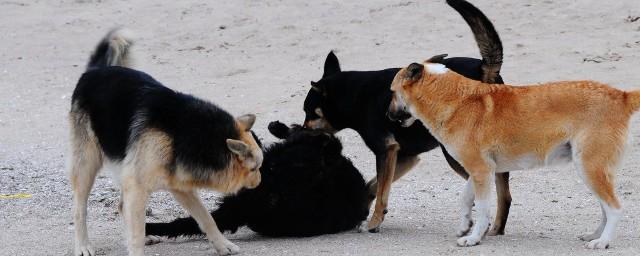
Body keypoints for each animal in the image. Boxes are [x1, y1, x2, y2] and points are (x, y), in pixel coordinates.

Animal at [69, 28, 262, 256]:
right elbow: (136, 234)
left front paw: (223, 245)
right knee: (80, 209)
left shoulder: (180, 186)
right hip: (86, 165)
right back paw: (83, 245)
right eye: (254, 168)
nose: (259, 183)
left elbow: (206, 218)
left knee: (122, 206)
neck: (187, 135)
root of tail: (95, 71)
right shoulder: (138, 186)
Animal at [384, 60, 640, 248]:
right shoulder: (480, 171)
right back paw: (595, 236)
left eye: (392, 92)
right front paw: (465, 225)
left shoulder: (481, 171)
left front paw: (474, 238)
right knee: (606, 208)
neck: (455, 99)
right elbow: (465, 198)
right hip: (593, 170)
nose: (387, 116)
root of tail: (621, 95)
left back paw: (603, 242)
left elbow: (483, 208)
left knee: (615, 208)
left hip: (590, 169)